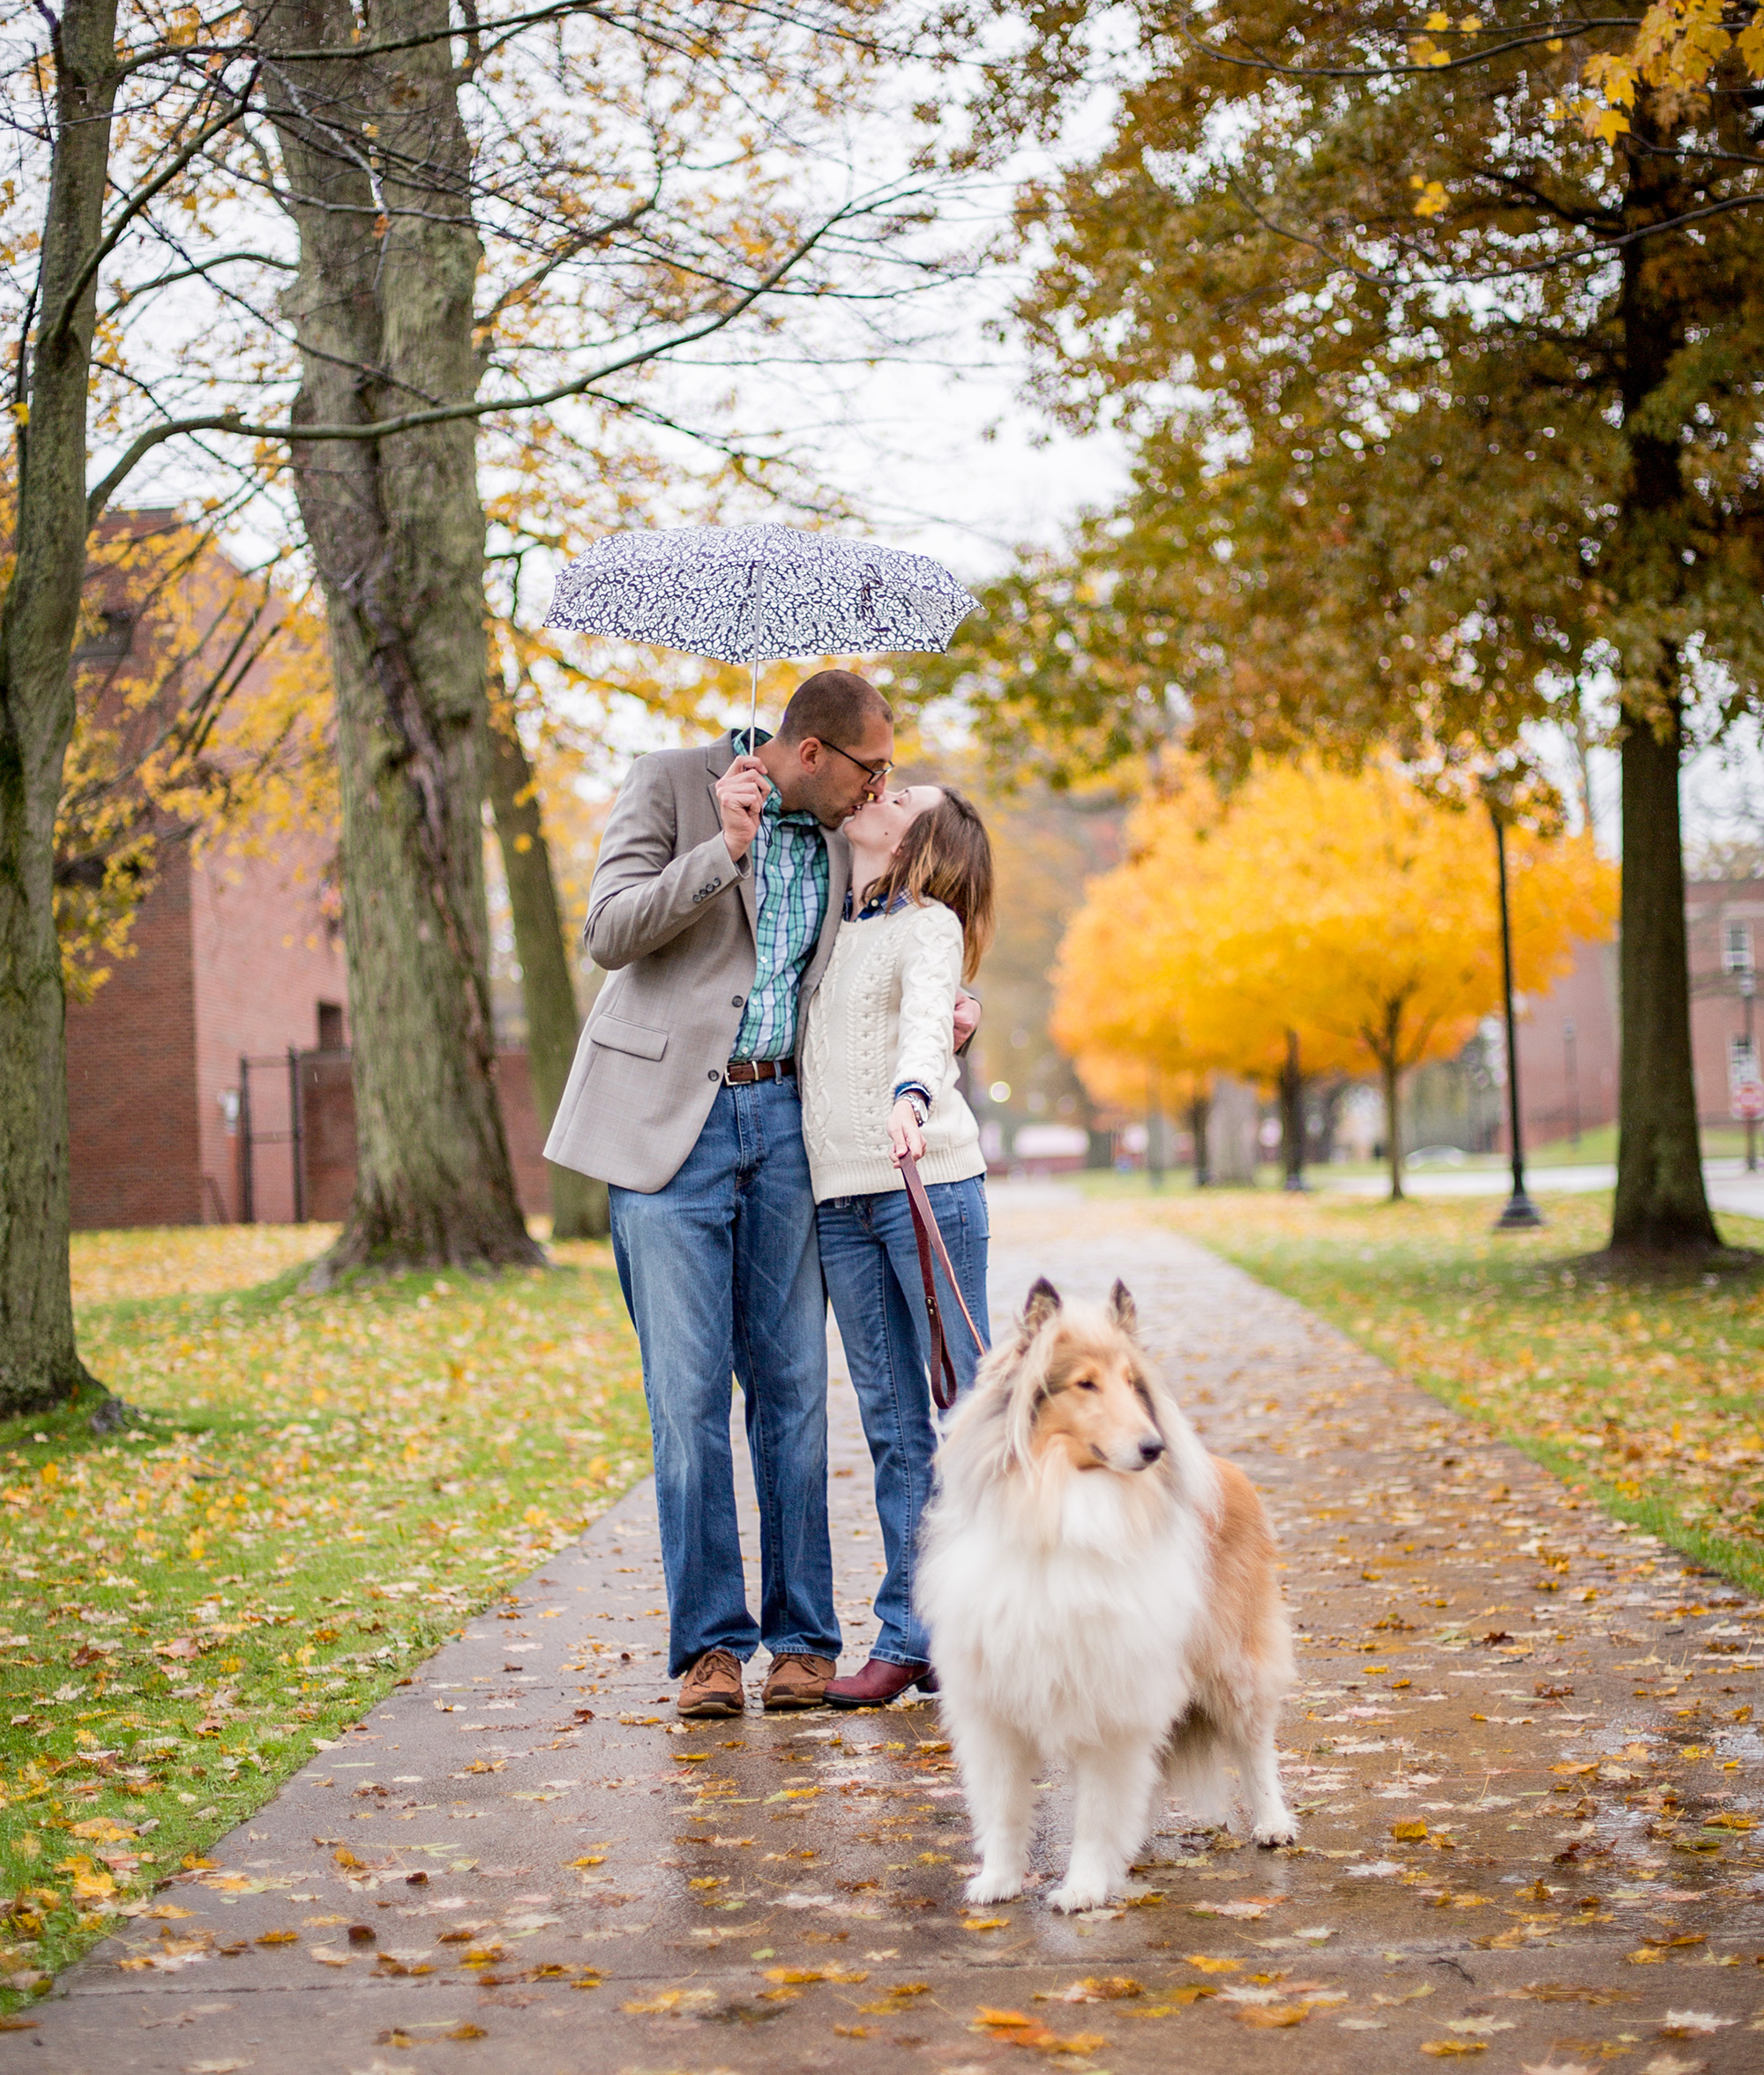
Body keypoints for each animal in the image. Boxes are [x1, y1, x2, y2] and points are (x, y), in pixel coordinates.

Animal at [921, 1270, 1295, 1917]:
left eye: (1131, 1383)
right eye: (1085, 1383)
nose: (1154, 1448)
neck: (1064, 1496)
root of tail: (1228, 1469)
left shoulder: (1112, 1696)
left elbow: (1096, 1811)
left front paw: (1084, 1887)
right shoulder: (994, 1703)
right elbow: (1003, 1805)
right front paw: (998, 1879)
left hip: (1232, 1662)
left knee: (1254, 1746)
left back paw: (1272, 1822)